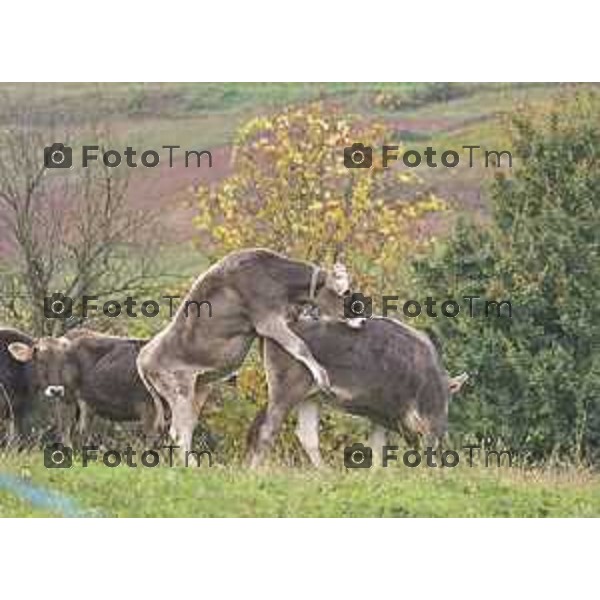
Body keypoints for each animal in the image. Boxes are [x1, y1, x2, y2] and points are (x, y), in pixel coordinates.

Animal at [136, 248, 352, 454]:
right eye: (345, 292)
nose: (351, 316)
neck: (274, 276)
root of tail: (143, 356)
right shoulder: (267, 320)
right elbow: (300, 346)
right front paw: (322, 377)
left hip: (200, 388)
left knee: (187, 428)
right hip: (178, 390)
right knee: (178, 432)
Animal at [246, 316, 466, 466]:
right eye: (446, 398)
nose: (442, 430)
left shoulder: (382, 415)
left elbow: (378, 450)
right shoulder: (397, 414)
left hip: (310, 396)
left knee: (307, 436)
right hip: (285, 390)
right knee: (267, 430)